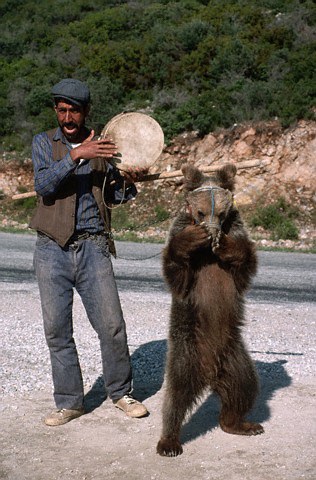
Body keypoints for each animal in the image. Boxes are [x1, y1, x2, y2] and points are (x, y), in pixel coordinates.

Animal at [157, 164, 262, 458]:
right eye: (201, 212)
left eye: (223, 212)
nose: (212, 229)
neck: (207, 253)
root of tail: (209, 372)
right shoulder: (186, 278)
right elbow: (175, 269)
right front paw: (192, 239)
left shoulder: (238, 250)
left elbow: (245, 260)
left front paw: (224, 244)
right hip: (186, 348)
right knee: (176, 396)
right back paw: (169, 442)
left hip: (235, 356)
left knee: (244, 388)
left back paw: (240, 424)